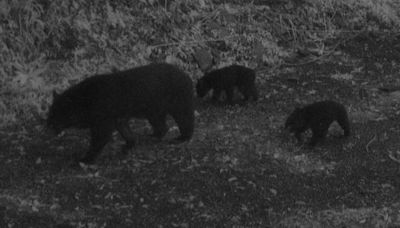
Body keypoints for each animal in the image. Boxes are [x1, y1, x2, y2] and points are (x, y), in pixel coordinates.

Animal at [47, 63, 195, 163]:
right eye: (50, 112)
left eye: (56, 114)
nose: (48, 125)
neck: (85, 101)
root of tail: (186, 76)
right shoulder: (118, 118)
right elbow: (125, 130)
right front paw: (129, 145)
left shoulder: (103, 120)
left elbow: (99, 138)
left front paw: (85, 159)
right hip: (153, 110)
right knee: (162, 126)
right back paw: (151, 136)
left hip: (177, 103)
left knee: (185, 120)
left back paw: (182, 137)